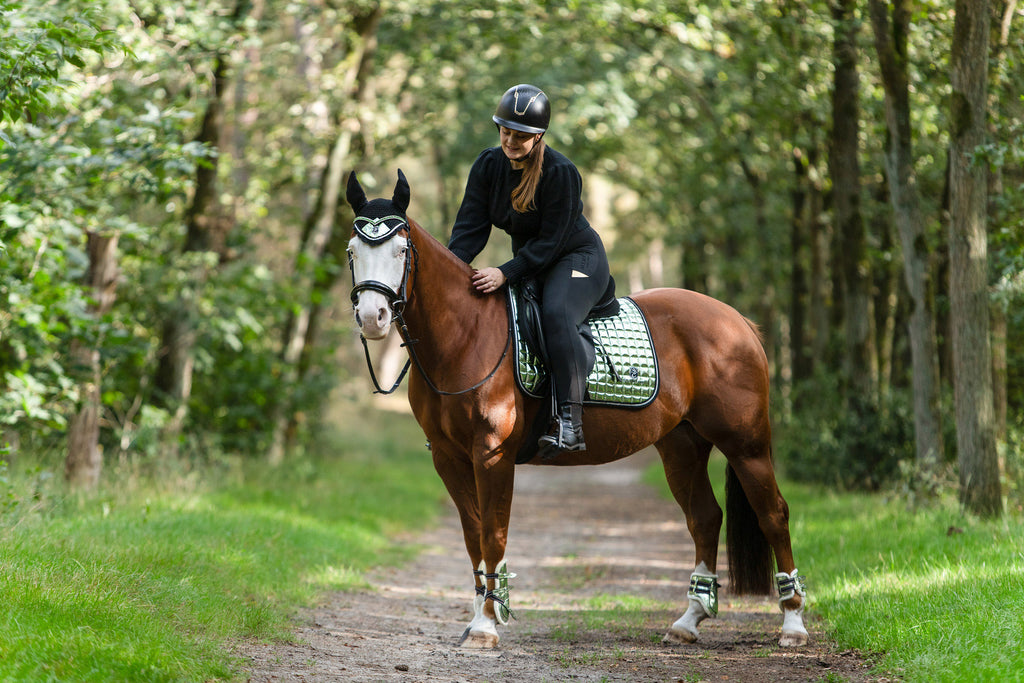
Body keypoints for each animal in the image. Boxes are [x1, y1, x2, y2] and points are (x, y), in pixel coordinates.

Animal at [344, 171, 806, 651]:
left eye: (401, 250)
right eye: (352, 251)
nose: (373, 317)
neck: (464, 336)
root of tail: (737, 322)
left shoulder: (491, 455)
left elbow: (493, 533)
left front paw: (488, 623)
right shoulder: (447, 457)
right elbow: (472, 535)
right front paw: (477, 619)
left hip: (746, 445)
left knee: (773, 514)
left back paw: (792, 623)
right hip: (682, 445)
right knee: (705, 518)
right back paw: (689, 620)